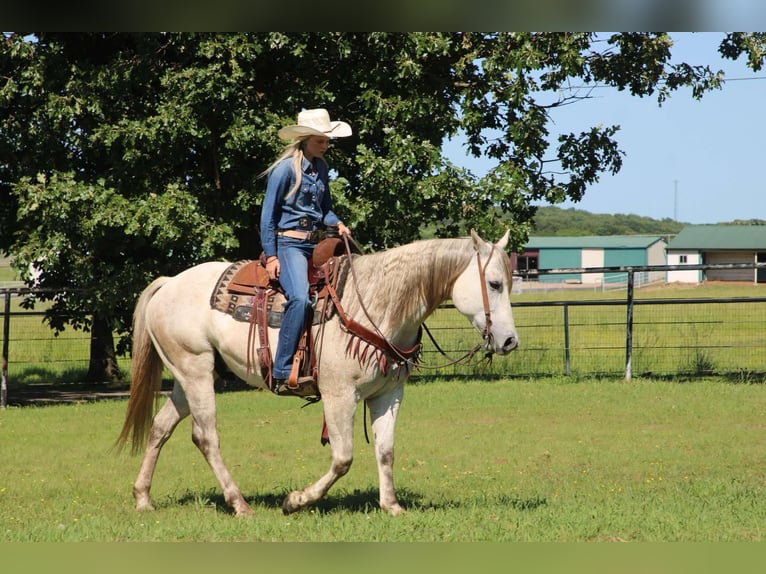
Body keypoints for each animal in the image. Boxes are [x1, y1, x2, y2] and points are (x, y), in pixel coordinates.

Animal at [115, 229, 519, 516]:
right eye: (494, 284)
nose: (510, 340)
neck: (376, 302)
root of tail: (169, 282)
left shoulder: (388, 394)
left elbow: (386, 450)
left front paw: (391, 506)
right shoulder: (339, 394)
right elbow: (343, 458)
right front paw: (296, 501)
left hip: (191, 376)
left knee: (161, 427)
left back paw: (142, 498)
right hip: (195, 371)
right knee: (206, 436)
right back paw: (239, 504)